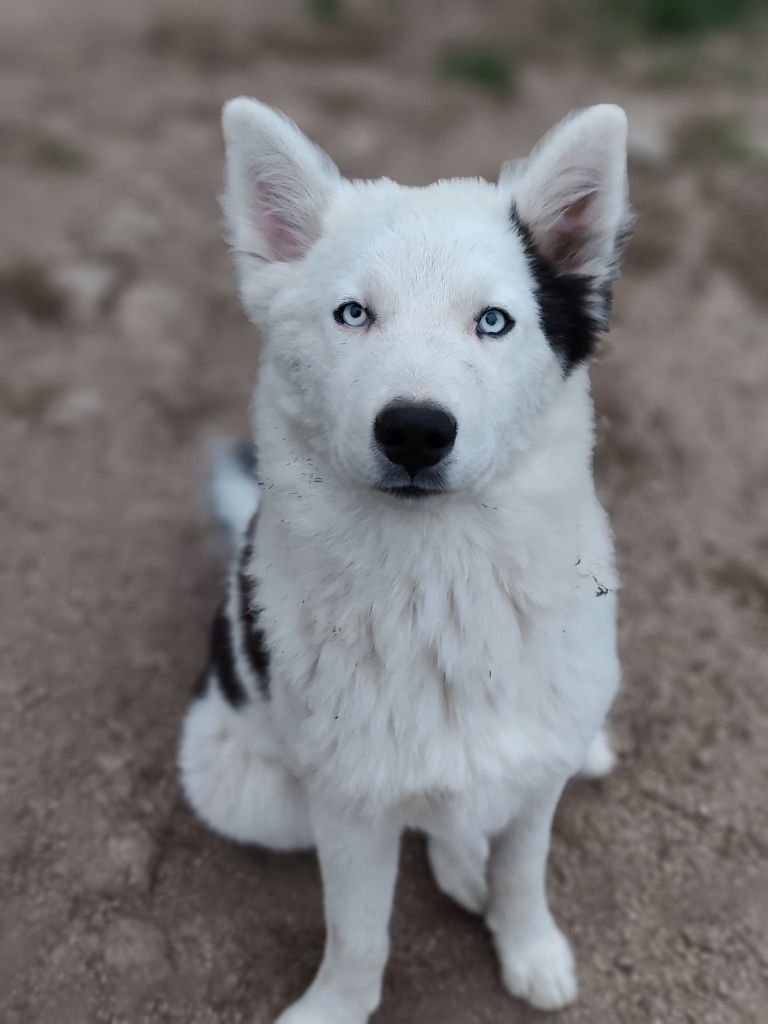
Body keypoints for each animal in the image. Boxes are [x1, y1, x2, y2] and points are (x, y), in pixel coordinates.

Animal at [179, 97, 632, 1023]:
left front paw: (528, 946)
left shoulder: (536, 782)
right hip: (249, 790)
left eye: (493, 320)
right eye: (354, 313)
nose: (416, 431)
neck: (442, 589)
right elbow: (359, 932)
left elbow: (524, 872)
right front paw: (335, 1007)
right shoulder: (348, 804)